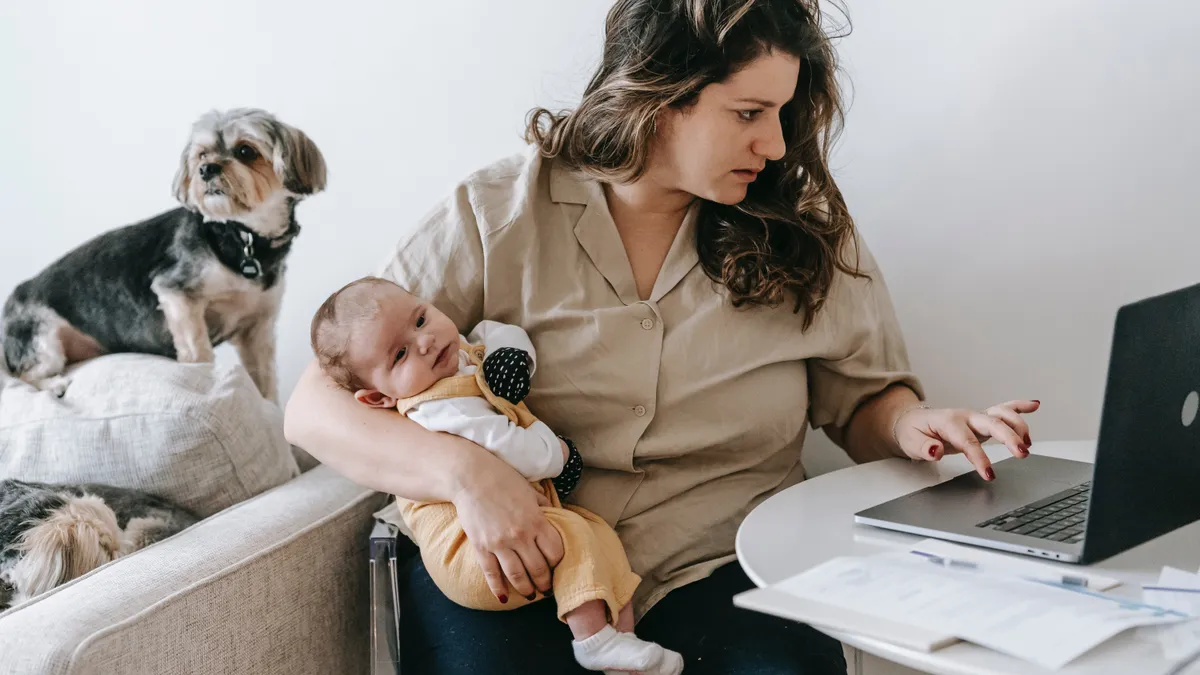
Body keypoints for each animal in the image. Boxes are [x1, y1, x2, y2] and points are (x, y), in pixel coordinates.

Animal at [0, 106, 326, 396]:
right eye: (202, 154)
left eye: (246, 151)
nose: (206, 169)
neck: (242, 235)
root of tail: (13, 299)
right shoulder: (177, 294)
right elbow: (198, 351)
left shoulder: (257, 328)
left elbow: (265, 384)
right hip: (41, 340)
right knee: (20, 376)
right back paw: (53, 385)